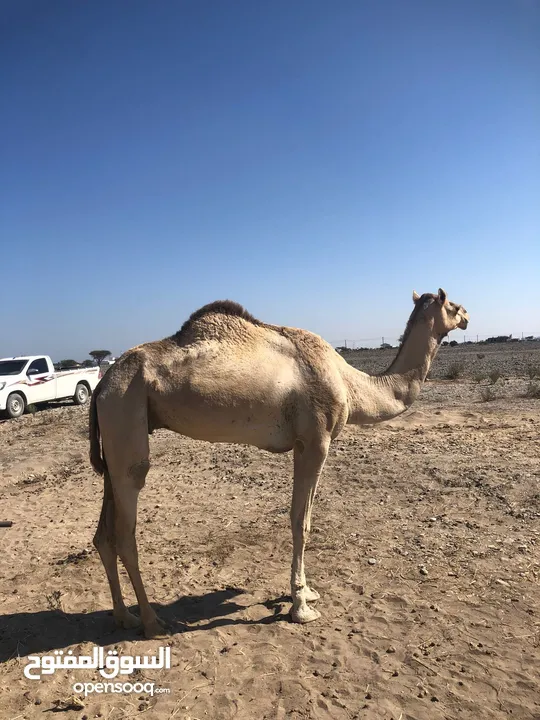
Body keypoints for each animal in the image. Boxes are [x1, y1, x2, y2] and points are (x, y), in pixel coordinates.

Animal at [88, 286, 468, 636]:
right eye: (453, 305)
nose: (467, 317)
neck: (349, 382)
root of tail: (101, 384)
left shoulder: (306, 443)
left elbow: (306, 518)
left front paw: (309, 592)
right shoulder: (315, 441)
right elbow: (301, 521)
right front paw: (301, 606)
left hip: (116, 437)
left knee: (104, 533)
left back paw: (123, 616)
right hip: (126, 412)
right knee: (126, 527)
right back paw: (151, 621)